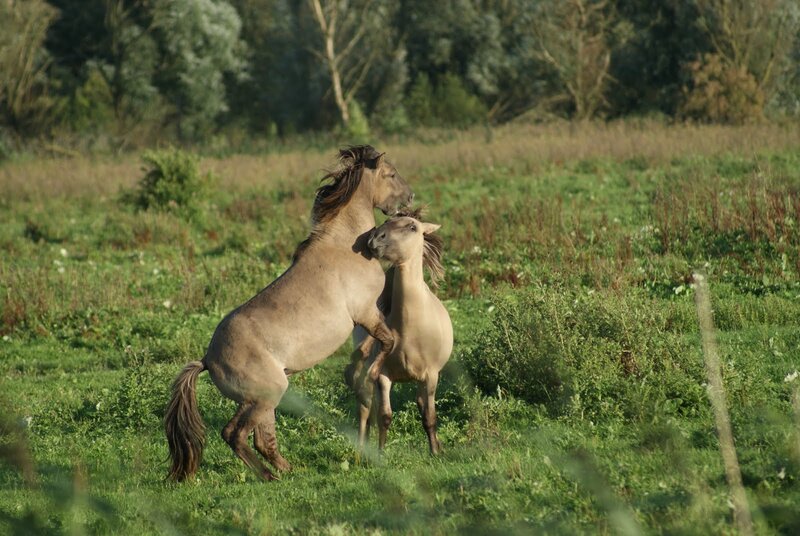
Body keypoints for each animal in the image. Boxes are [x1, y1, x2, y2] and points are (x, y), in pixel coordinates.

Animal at [165, 145, 413, 481]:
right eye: (391, 173)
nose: (410, 198)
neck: (346, 246)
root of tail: (207, 360)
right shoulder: (366, 312)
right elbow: (387, 342)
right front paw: (370, 375)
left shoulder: (367, 318)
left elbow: (368, 349)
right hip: (266, 395)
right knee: (235, 434)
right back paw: (269, 476)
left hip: (260, 400)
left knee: (261, 439)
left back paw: (290, 470)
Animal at [345, 211, 452, 454]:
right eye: (386, 222)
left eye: (413, 227)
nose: (375, 239)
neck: (410, 328)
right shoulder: (383, 375)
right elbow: (384, 416)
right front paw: (381, 453)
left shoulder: (431, 376)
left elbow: (429, 416)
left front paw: (435, 451)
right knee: (365, 409)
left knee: (421, 404)